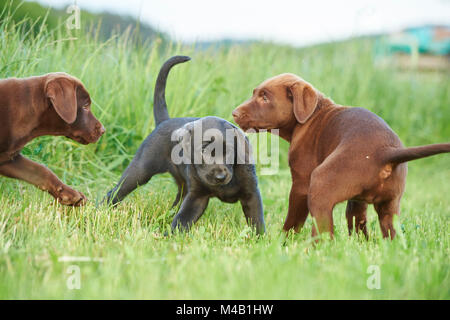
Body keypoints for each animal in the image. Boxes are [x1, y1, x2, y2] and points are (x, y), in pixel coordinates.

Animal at [106, 55, 266, 232]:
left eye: (230, 152)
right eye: (203, 150)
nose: (220, 176)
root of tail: (164, 120)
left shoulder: (251, 194)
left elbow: (257, 222)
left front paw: (260, 238)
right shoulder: (197, 196)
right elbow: (182, 220)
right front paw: (169, 236)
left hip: (181, 185)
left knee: (175, 204)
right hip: (140, 170)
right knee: (114, 192)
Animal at [234, 74, 448, 240]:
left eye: (265, 97)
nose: (234, 113)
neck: (311, 116)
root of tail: (384, 152)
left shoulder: (301, 185)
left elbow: (293, 221)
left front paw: (282, 241)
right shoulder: (358, 200)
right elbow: (356, 219)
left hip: (320, 185)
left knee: (323, 233)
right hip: (390, 206)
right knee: (390, 232)